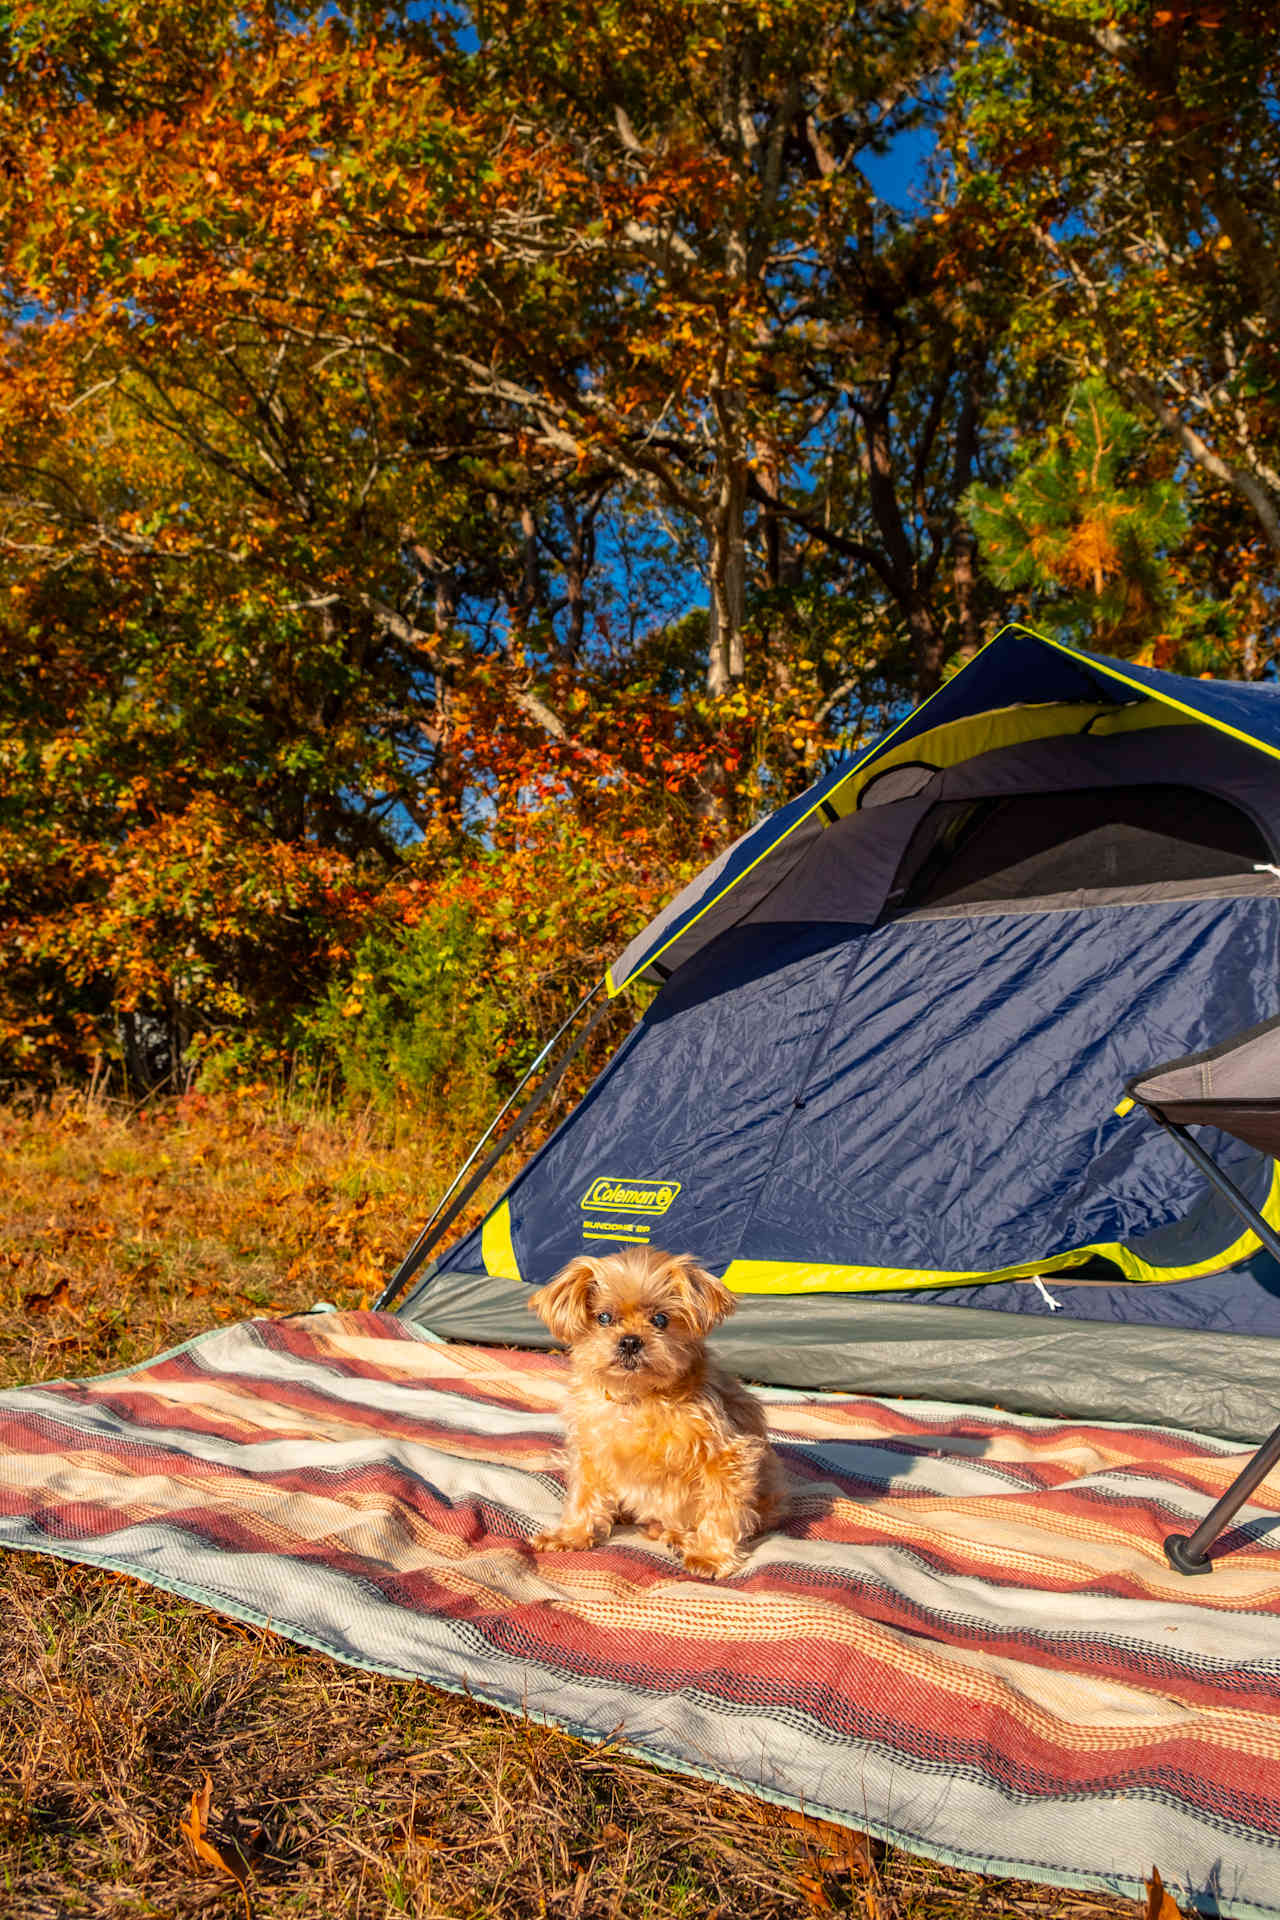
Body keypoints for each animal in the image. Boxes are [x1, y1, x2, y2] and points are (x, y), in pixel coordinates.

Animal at [525, 1244, 786, 1574]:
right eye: (604, 1317)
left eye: (660, 1320)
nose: (630, 1341)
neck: (639, 1397)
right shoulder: (590, 1450)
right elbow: (583, 1496)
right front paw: (571, 1535)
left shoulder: (727, 1455)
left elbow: (721, 1507)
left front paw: (711, 1555)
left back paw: (678, 1536)